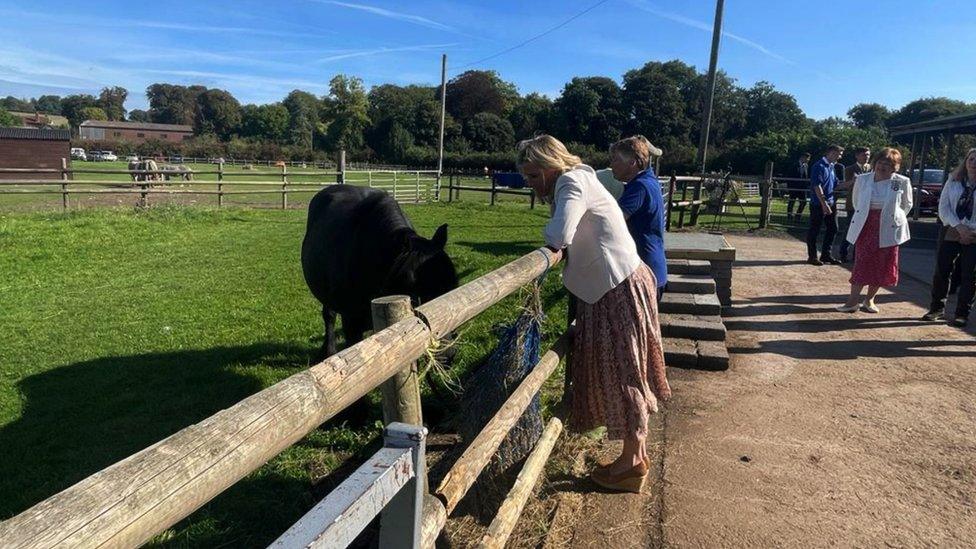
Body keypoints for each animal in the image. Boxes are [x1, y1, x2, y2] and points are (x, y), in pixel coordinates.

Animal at [302, 185, 462, 360]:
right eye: (413, 289)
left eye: (453, 285)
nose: (447, 354)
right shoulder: (351, 323)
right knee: (329, 315)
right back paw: (329, 351)